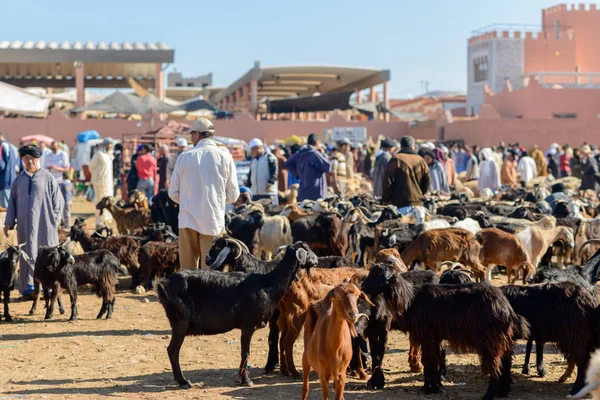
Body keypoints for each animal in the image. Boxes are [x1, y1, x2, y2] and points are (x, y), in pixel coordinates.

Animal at [159, 241, 318, 388]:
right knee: (173, 350)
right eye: (307, 249)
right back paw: (183, 381)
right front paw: (246, 380)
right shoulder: (248, 325)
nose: (316, 260)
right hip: (180, 322)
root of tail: (163, 284)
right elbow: (245, 353)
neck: (268, 282)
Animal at [360, 264, 524, 398]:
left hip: (490, 339)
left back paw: (489, 395)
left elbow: (429, 361)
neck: (410, 299)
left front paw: (428, 388)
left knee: (495, 364)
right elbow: (436, 358)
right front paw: (435, 385)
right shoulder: (435, 336)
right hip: (503, 338)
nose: (362, 288)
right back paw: (503, 391)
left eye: (377, 274)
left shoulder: (427, 334)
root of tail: (506, 307)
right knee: (505, 362)